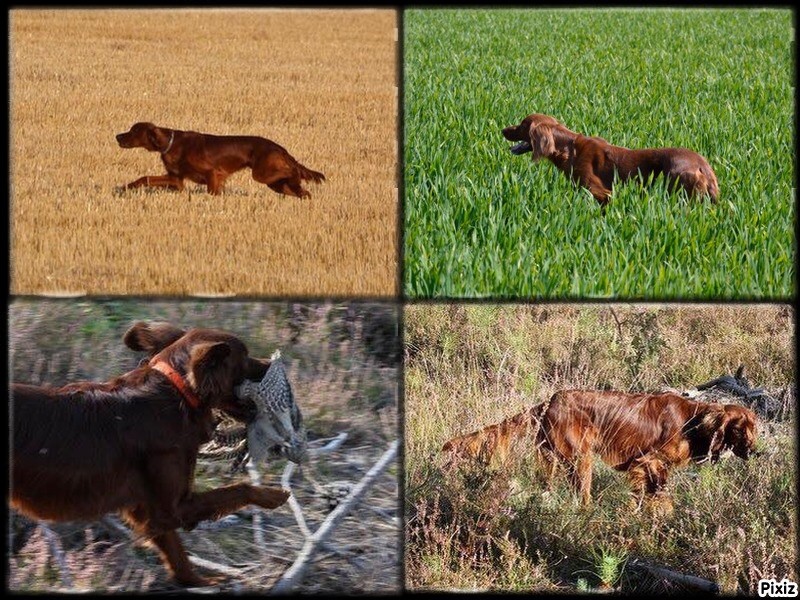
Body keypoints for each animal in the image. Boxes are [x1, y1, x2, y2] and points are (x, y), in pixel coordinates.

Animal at [10, 322, 290, 588]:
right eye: (245, 357)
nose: (273, 364)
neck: (176, 393)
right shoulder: (171, 508)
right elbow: (239, 489)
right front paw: (273, 495)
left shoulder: (150, 508)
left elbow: (177, 553)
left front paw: (200, 581)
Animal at [117, 122, 324, 197]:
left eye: (134, 131)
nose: (117, 136)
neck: (171, 142)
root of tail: (279, 147)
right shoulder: (176, 180)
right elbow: (145, 178)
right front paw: (126, 187)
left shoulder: (213, 172)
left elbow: (212, 192)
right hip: (275, 183)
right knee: (302, 192)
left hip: (261, 174)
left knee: (293, 170)